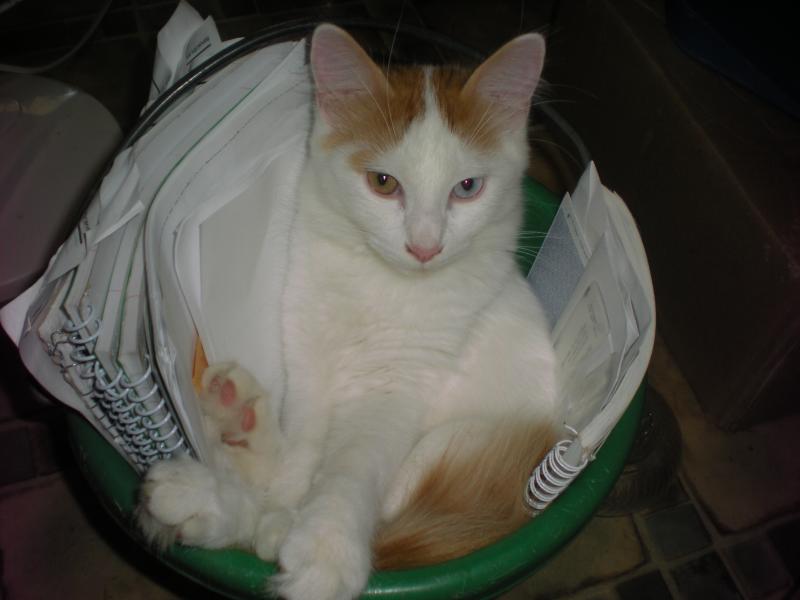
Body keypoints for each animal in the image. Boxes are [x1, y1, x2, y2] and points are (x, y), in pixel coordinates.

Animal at [137, 23, 560, 600]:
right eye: (383, 183)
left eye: (467, 188)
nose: (424, 247)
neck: (382, 283)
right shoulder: (308, 353)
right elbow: (297, 462)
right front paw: (281, 510)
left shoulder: (398, 387)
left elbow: (349, 470)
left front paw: (325, 545)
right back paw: (230, 442)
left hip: (453, 445)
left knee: (387, 525)